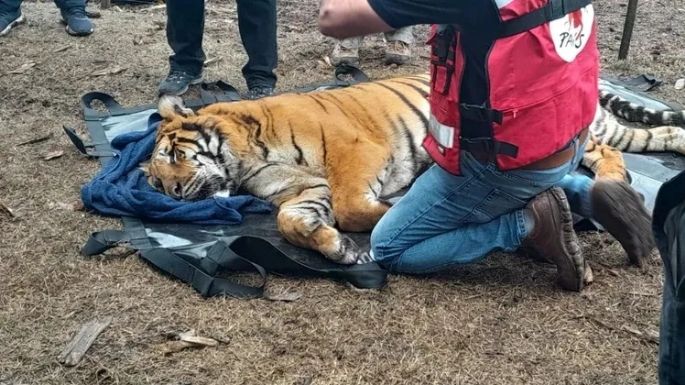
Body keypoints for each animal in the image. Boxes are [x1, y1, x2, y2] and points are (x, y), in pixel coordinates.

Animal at [142, 74, 680, 268]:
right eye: (153, 182)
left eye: (173, 157)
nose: (174, 193)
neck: (246, 160)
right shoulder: (301, 191)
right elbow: (291, 220)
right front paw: (337, 249)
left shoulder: (355, 150)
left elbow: (354, 206)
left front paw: (392, 210)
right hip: (619, 132)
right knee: (662, 136)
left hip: (585, 130)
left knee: (608, 153)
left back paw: (615, 184)